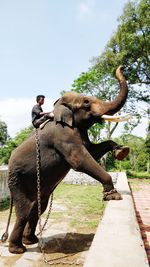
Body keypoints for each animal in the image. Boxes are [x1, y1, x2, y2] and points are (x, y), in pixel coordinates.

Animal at [4, 66, 129, 254]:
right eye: (86, 102)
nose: (122, 67)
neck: (59, 107)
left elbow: (93, 152)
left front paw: (122, 151)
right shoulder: (62, 135)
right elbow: (80, 160)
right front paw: (113, 196)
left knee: (38, 206)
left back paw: (31, 240)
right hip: (17, 181)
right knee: (24, 210)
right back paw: (18, 249)